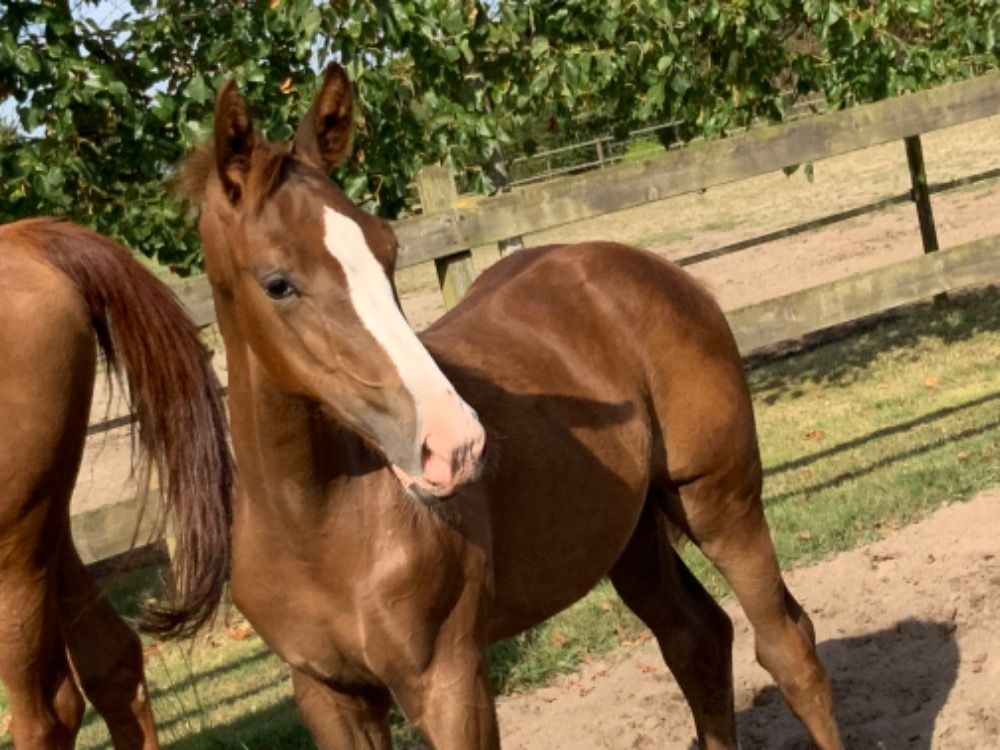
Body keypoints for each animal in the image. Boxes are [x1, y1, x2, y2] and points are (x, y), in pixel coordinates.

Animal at [179, 63, 841, 749]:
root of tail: (658, 269)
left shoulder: (449, 680)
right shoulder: (328, 695)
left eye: (388, 250)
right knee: (697, 639)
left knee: (786, 647)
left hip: (719, 501)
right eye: (278, 283)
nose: (454, 443)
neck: (317, 528)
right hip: (625, 534)